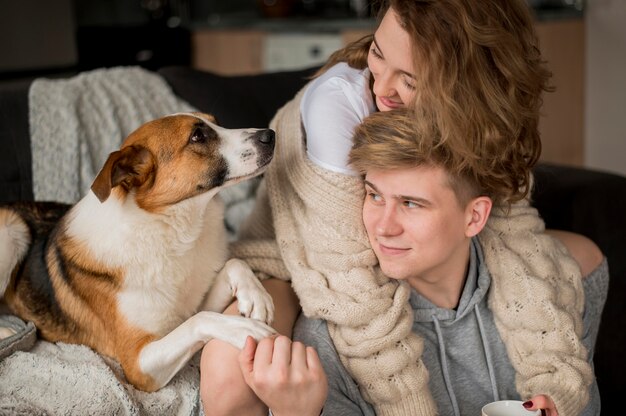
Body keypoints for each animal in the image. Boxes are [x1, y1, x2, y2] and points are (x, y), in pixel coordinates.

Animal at [0, 112, 278, 392]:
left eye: (216, 122)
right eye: (197, 136)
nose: (271, 135)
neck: (173, 228)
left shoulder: (187, 309)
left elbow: (233, 265)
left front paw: (256, 295)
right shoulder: (138, 364)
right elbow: (201, 320)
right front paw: (244, 329)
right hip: (12, 230)